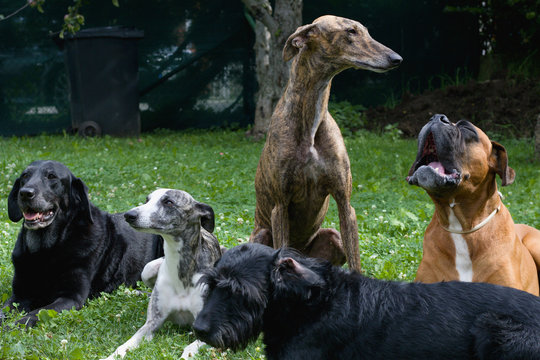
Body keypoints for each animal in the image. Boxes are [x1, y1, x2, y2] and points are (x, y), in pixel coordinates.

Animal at [1, 160, 162, 326]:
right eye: (25, 176)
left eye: (51, 176)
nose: (25, 192)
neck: (46, 250)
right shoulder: (20, 295)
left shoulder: (71, 297)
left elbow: (35, 314)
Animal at [103, 190, 221, 358]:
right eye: (147, 200)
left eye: (169, 202)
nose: (129, 215)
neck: (181, 272)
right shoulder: (152, 323)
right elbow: (125, 345)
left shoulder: (210, 331)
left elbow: (190, 348)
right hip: (148, 269)